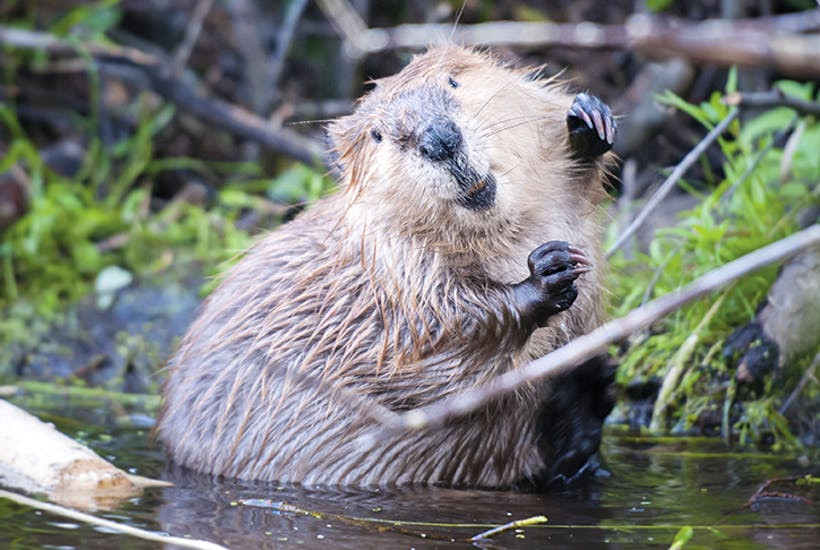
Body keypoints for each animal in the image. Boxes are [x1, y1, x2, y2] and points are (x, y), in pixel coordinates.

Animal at [157, 45, 616, 490]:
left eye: (453, 81)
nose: (440, 139)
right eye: (377, 134)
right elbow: (438, 349)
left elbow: (576, 184)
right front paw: (547, 272)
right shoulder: (394, 271)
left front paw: (588, 121)